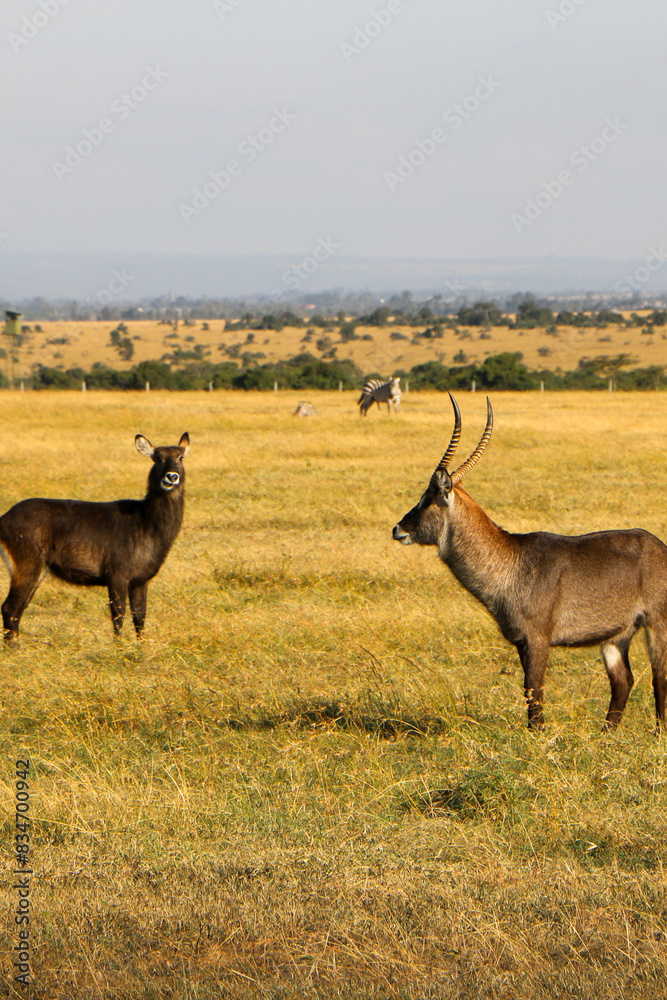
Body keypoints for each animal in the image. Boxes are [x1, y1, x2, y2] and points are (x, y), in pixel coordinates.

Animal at [0, 432, 190, 645]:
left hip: (38, 571)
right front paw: (119, 647)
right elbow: (118, 615)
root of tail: (3, 518)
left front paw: (141, 647)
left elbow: (140, 617)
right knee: (9, 608)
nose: (171, 476)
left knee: (17, 609)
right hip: (26, 566)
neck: (146, 522)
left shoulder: (141, 580)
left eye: (181, 457)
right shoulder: (117, 575)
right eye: (157, 457)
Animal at [392, 395, 667, 730]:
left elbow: (534, 687)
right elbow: (528, 689)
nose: (398, 529)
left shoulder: (537, 638)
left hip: (657, 623)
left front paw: (536, 733)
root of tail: (659, 545)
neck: (511, 560)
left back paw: (657, 733)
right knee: (623, 681)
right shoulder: (520, 641)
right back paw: (606, 734)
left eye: (426, 499)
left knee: (659, 678)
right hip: (616, 636)